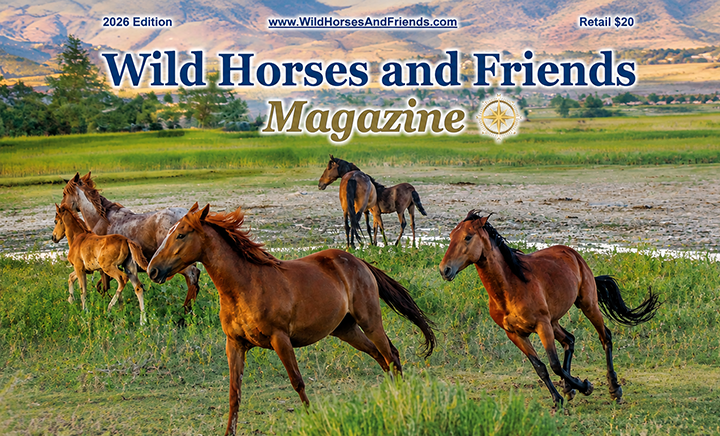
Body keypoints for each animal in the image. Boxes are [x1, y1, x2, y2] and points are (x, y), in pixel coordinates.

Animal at [60, 172, 201, 311]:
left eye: (64, 193)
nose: (61, 207)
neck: (101, 220)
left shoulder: (103, 266)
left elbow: (105, 286)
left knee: (193, 276)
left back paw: (187, 308)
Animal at [147, 203, 436, 436]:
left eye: (181, 234)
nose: (152, 270)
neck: (245, 286)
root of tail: (359, 261)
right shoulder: (235, 344)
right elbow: (234, 393)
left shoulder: (280, 339)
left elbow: (297, 382)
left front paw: (313, 419)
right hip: (346, 330)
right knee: (380, 356)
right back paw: (391, 396)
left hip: (370, 321)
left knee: (391, 355)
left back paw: (402, 400)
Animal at [439, 211, 660, 408]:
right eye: (450, 237)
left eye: (467, 237)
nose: (444, 270)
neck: (510, 288)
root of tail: (574, 254)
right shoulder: (516, 334)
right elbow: (541, 367)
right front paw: (559, 398)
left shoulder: (542, 326)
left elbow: (554, 365)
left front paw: (586, 386)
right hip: (554, 321)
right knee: (570, 340)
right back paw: (570, 389)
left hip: (588, 305)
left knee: (605, 337)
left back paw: (614, 389)